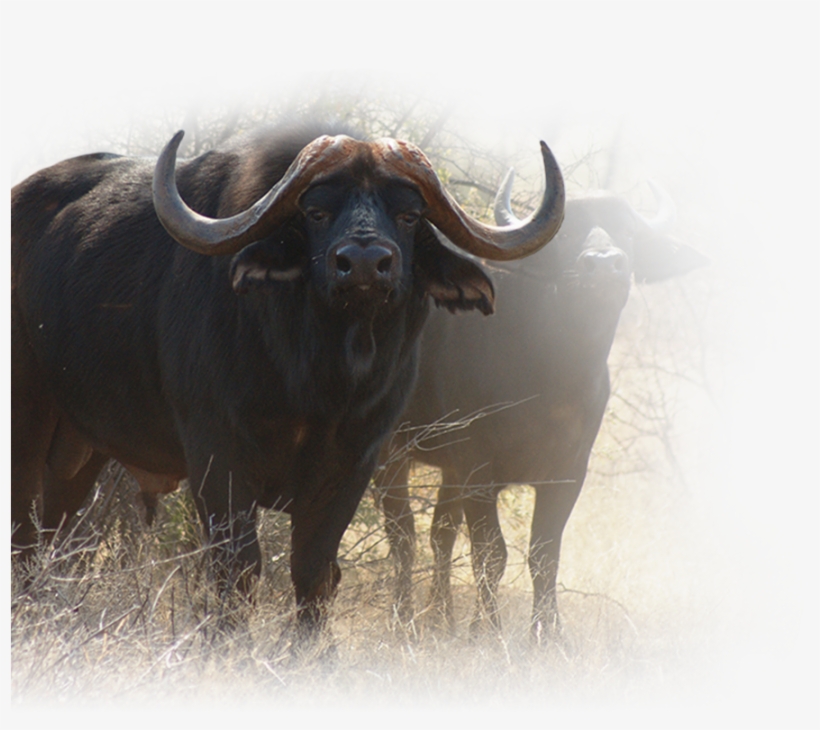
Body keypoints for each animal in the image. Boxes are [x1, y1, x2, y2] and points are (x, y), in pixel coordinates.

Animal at [11, 121, 565, 634]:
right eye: (317, 211)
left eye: (409, 215)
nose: (364, 263)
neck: (315, 380)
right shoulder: (217, 455)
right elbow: (238, 567)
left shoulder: (356, 459)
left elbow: (314, 569)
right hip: (28, 417)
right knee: (23, 532)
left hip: (78, 449)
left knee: (54, 533)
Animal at [377, 170, 708, 642]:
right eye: (565, 233)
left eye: (627, 230)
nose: (604, 264)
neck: (554, 375)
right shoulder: (479, 469)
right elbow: (490, 553)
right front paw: (488, 631)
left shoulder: (568, 473)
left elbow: (544, 553)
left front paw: (547, 633)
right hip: (391, 450)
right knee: (402, 531)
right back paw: (403, 618)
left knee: (440, 531)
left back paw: (442, 617)